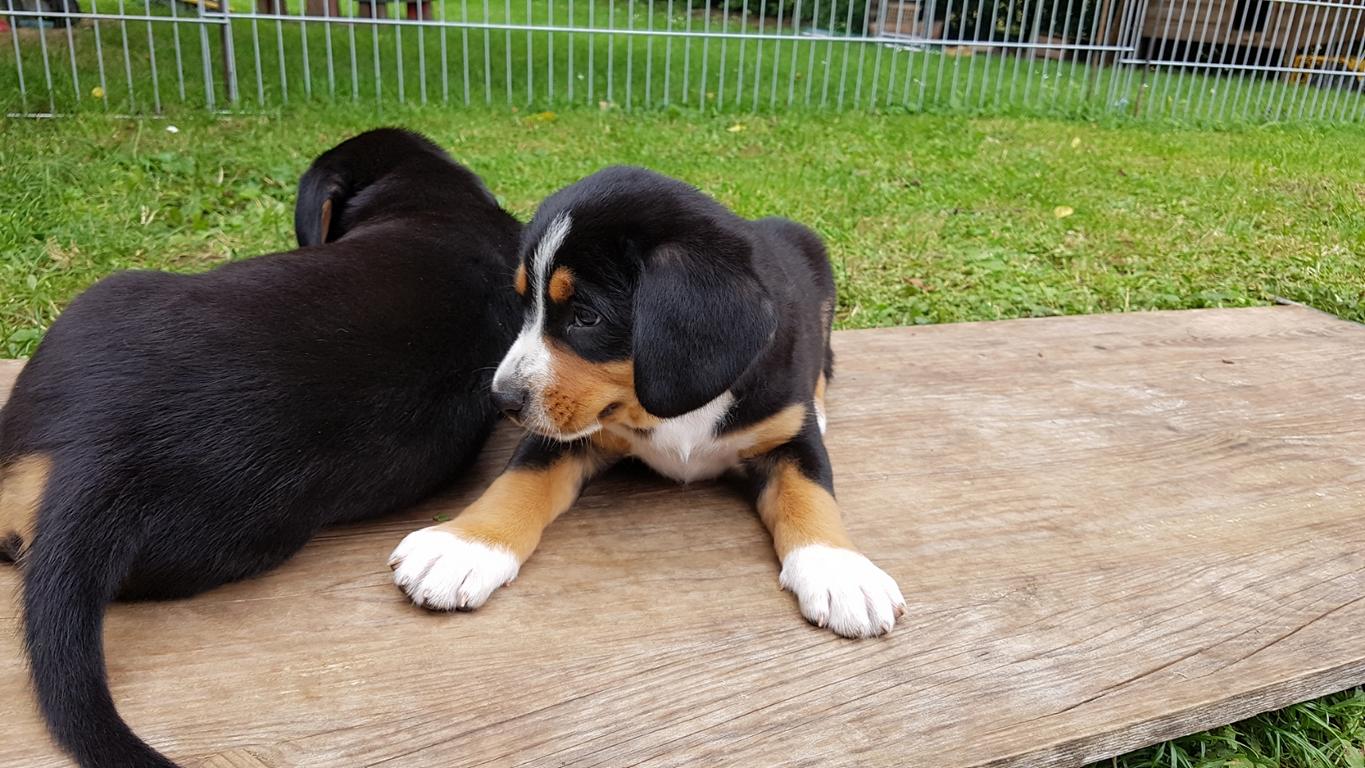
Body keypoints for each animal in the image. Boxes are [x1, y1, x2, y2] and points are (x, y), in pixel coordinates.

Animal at [389, 166, 906, 639]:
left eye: (586, 317)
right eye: (524, 306)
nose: (502, 400)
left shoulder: (788, 437)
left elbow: (811, 494)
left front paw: (841, 573)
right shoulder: (570, 434)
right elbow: (518, 482)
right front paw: (462, 546)